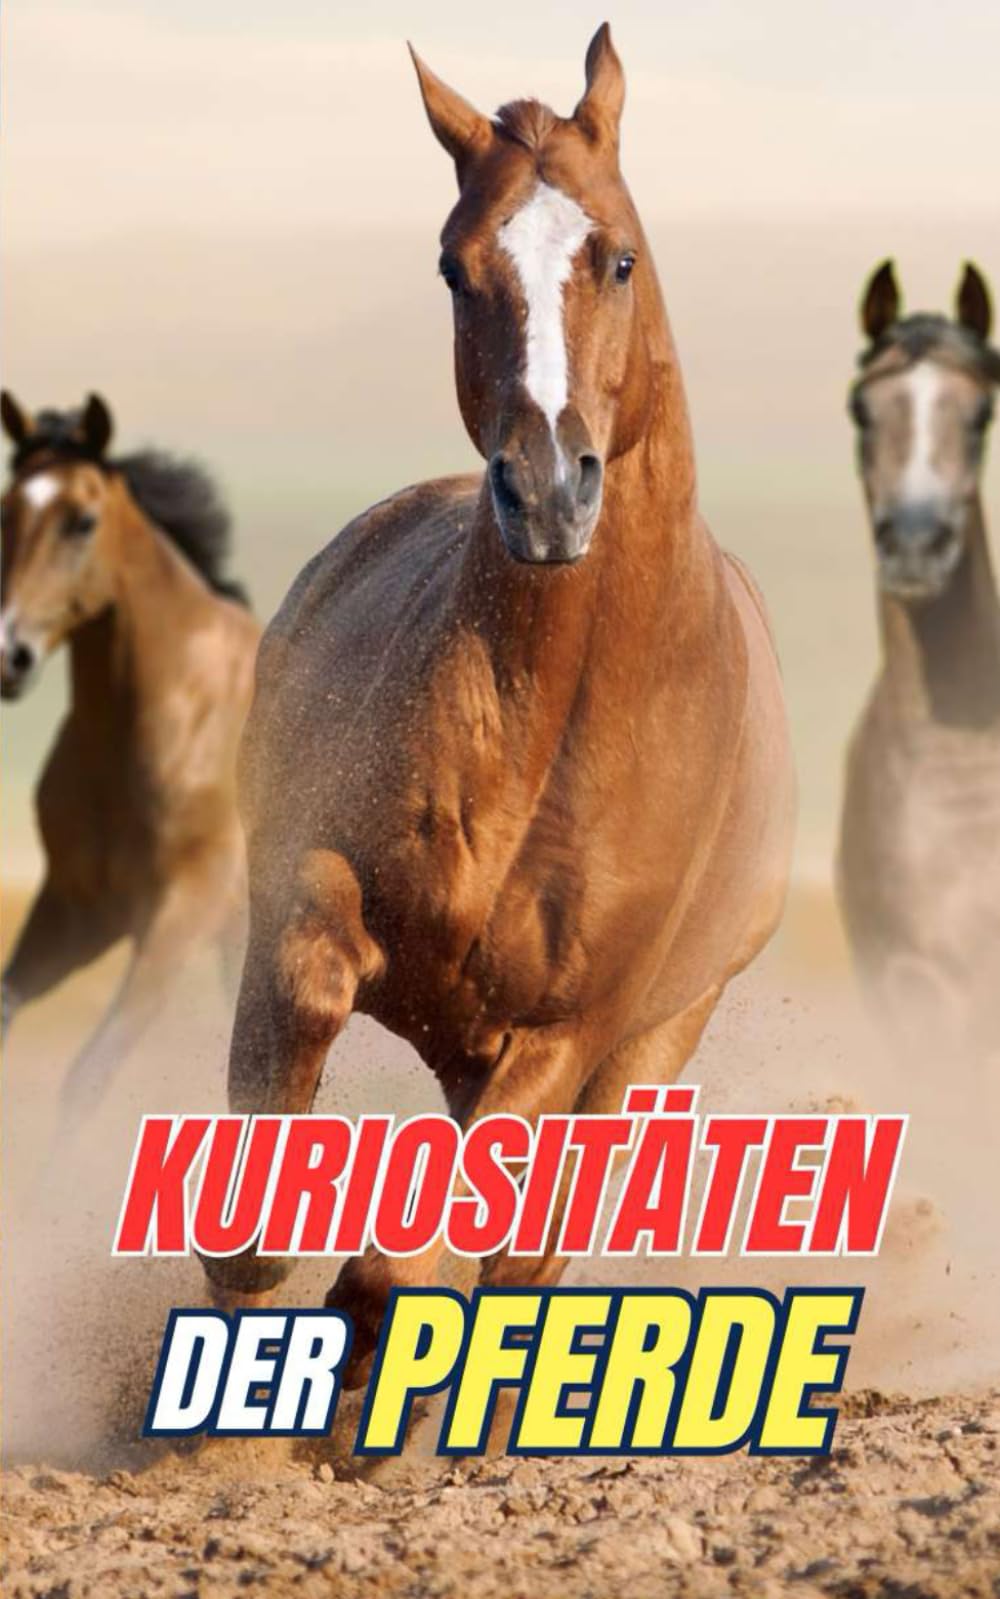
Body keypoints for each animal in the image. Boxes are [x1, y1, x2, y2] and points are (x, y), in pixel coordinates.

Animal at [0, 391, 260, 1117]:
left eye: (82, 521)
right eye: (6, 510)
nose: (9, 655)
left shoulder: (179, 914)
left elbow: (87, 1076)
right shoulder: (79, 908)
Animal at [203, 25, 795, 1382]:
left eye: (616, 255)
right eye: (453, 267)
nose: (546, 492)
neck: (553, 722)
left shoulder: (574, 1028)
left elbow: (454, 1235)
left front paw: (371, 1322)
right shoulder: (312, 880)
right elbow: (306, 986)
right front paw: (257, 1271)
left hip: (650, 1041)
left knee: (530, 1248)